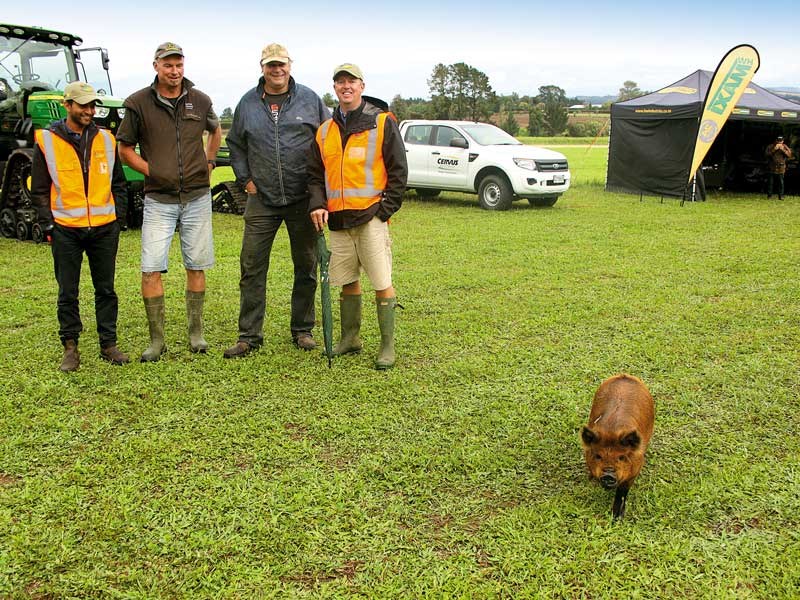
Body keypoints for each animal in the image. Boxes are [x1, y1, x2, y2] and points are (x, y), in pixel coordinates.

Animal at [584, 376, 652, 520]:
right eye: (598, 456)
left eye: (621, 457)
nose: (608, 474)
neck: (612, 432)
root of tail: (625, 375)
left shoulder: (635, 470)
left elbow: (622, 492)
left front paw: (617, 518)